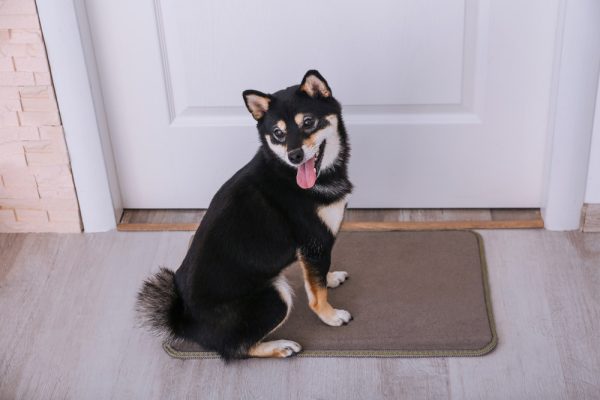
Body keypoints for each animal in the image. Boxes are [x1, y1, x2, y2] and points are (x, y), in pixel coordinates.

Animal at [136, 70, 352, 360]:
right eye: (278, 133)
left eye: (308, 122)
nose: (294, 156)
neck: (288, 174)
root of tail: (184, 322)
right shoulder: (314, 241)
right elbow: (317, 295)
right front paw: (331, 316)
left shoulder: (316, 249)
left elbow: (317, 278)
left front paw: (331, 278)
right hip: (275, 295)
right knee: (239, 348)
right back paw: (280, 346)